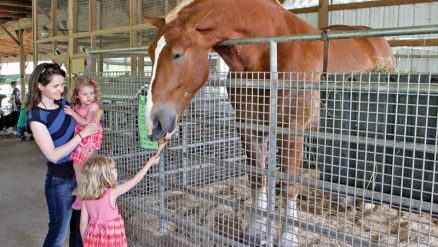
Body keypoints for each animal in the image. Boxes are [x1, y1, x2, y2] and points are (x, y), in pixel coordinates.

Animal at [143, 0, 394, 246]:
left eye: (177, 54)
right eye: (150, 54)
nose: (154, 124)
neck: (269, 52)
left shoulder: (292, 131)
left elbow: (289, 185)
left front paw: (288, 237)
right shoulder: (248, 127)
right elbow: (257, 178)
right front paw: (256, 230)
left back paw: (366, 202)